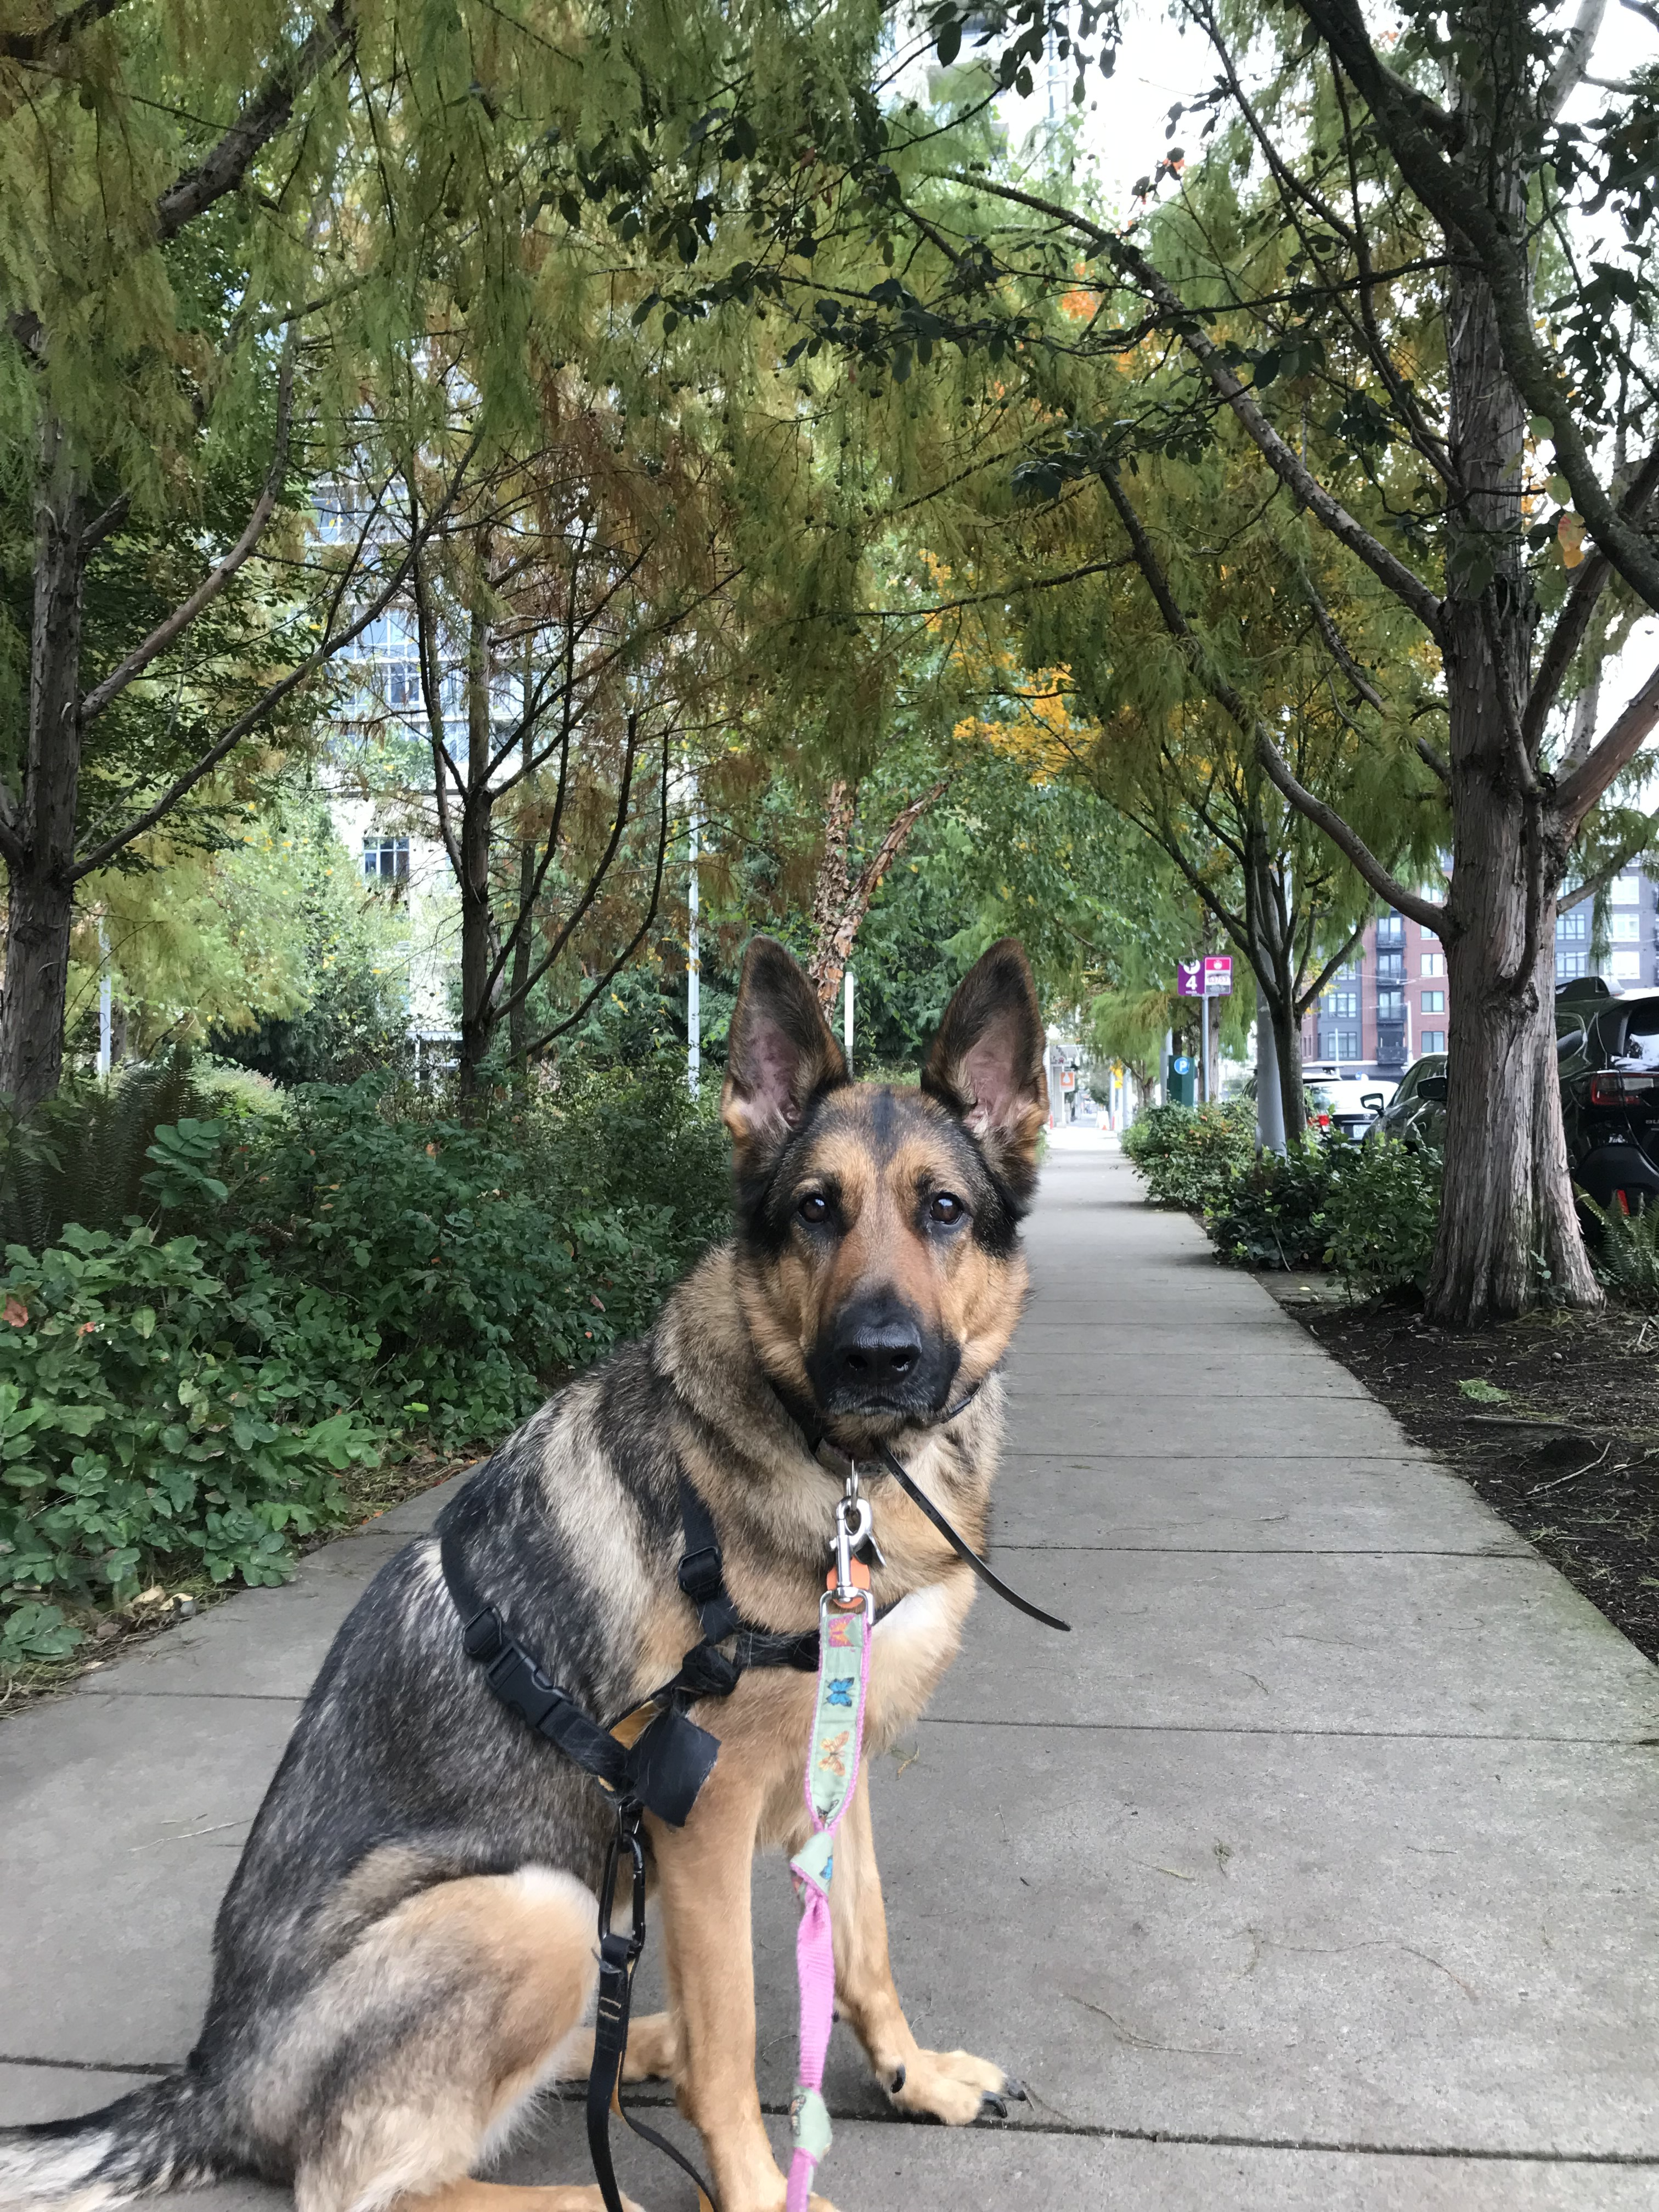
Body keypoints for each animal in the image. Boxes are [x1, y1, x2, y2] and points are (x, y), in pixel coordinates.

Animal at [6, 938, 1053, 2212]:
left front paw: (911, 2075)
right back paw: (585, 2187)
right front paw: (761, 2189)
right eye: (817, 1210)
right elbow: (733, 2034)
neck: (845, 1468)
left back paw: (638, 2048)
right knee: (353, 2182)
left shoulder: (832, 1771)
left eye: (942, 1210)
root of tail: (216, 2084)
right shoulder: (698, 1820)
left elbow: (861, 1946)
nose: (877, 1359)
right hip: (539, 1905)